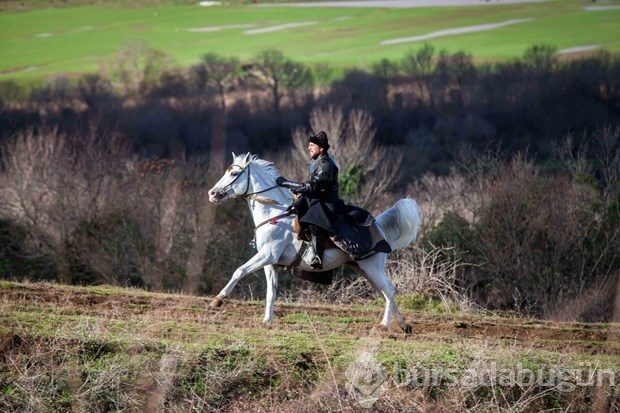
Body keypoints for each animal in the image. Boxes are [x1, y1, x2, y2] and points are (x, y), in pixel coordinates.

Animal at [208, 153, 422, 330]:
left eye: (234, 173)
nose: (212, 193)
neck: (274, 214)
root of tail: (379, 228)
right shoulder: (270, 263)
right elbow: (271, 292)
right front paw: (267, 320)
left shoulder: (267, 255)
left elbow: (239, 271)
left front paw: (218, 300)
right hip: (364, 269)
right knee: (386, 292)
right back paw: (403, 325)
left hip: (371, 267)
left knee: (389, 290)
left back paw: (385, 325)